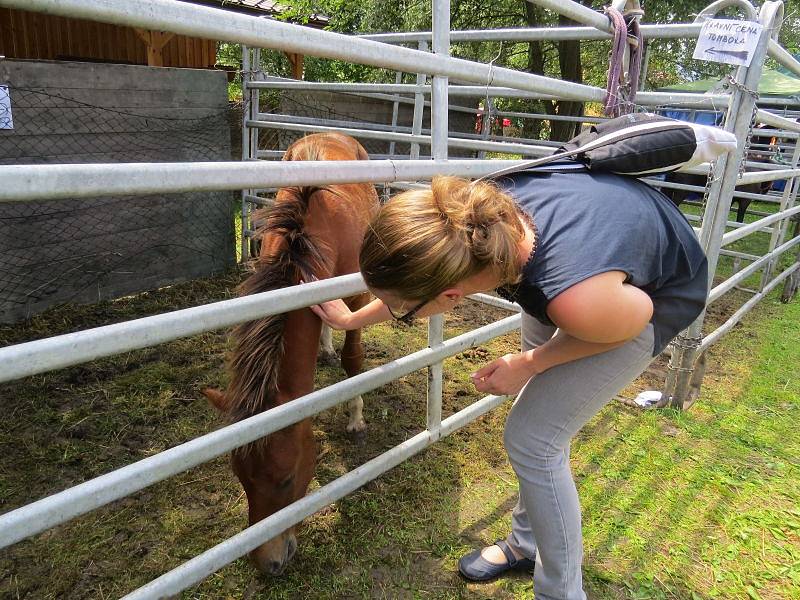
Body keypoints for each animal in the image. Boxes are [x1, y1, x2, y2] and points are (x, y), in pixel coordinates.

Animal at [203, 134, 378, 576]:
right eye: (241, 479)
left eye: (284, 481)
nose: (267, 563)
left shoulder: (357, 294)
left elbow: (354, 360)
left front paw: (355, 418)